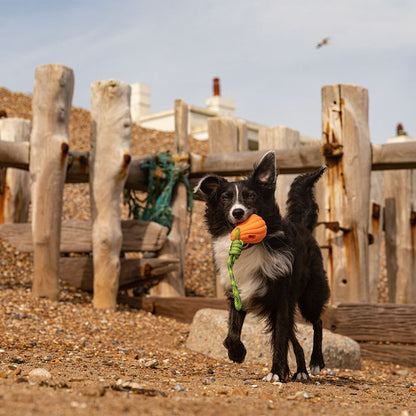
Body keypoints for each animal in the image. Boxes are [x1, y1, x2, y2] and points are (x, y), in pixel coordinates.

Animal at [196, 151, 332, 382]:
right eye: (225, 198)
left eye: (251, 195)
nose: (238, 212)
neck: (249, 247)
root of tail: (303, 227)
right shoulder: (238, 293)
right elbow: (233, 331)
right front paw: (237, 352)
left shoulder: (282, 297)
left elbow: (279, 339)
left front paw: (276, 372)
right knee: (293, 336)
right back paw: (300, 371)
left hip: (310, 295)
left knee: (317, 322)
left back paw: (314, 363)